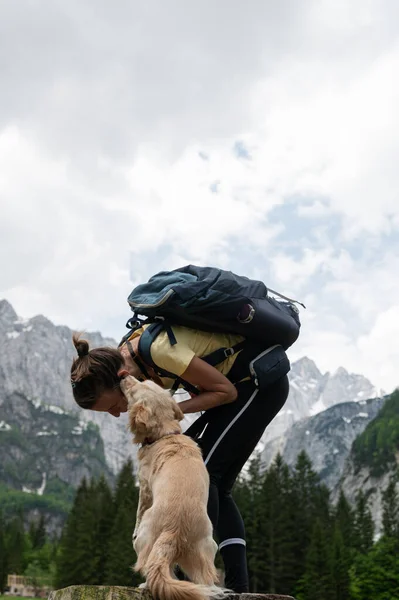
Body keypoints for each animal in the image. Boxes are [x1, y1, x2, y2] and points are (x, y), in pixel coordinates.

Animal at [119, 376, 225, 600]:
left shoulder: (144, 488)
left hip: (145, 537)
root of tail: (175, 531)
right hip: (206, 549)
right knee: (200, 579)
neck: (165, 435)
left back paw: (144, 585)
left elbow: (138, 511)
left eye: (134, 388)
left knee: (151, 567)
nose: (123, 375)